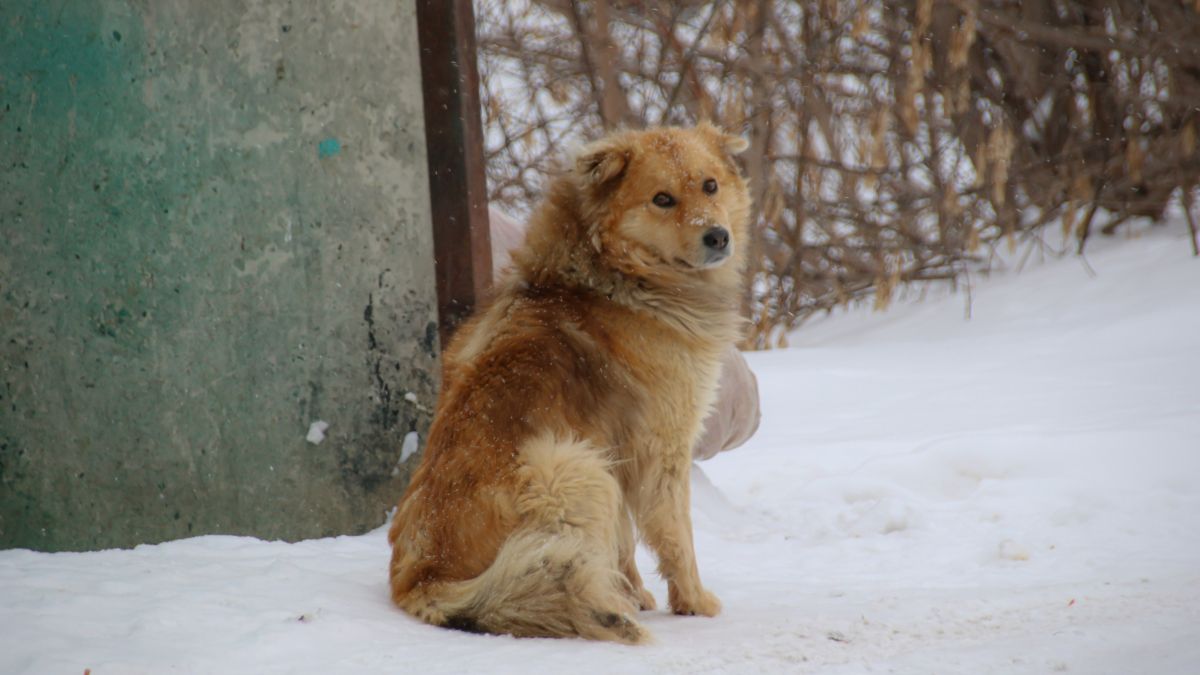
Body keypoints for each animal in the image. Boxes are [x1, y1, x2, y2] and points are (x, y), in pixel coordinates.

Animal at [388, 123, 748, 643]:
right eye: (662, 199)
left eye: (710, 185)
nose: (718, 237)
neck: (613, 275)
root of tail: (423, 579)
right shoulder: (660, 450)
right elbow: (677, 536)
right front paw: (694, 603)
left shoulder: (616, 450)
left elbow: (624, 540)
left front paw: (635, 593)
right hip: (570, 468)